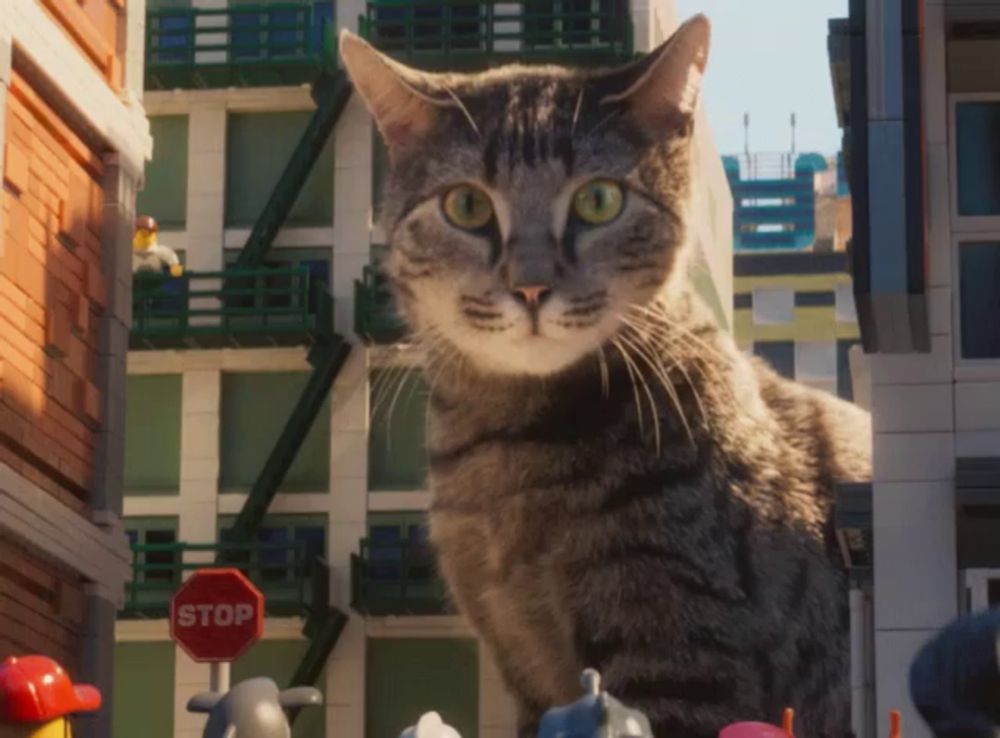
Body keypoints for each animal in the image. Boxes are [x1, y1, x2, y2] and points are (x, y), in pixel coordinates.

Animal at [340, 15, 872, 736]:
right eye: (467, 207)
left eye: (598, 201)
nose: (531, 286)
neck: (506, 453)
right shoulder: (524, 667)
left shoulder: (675, 659)